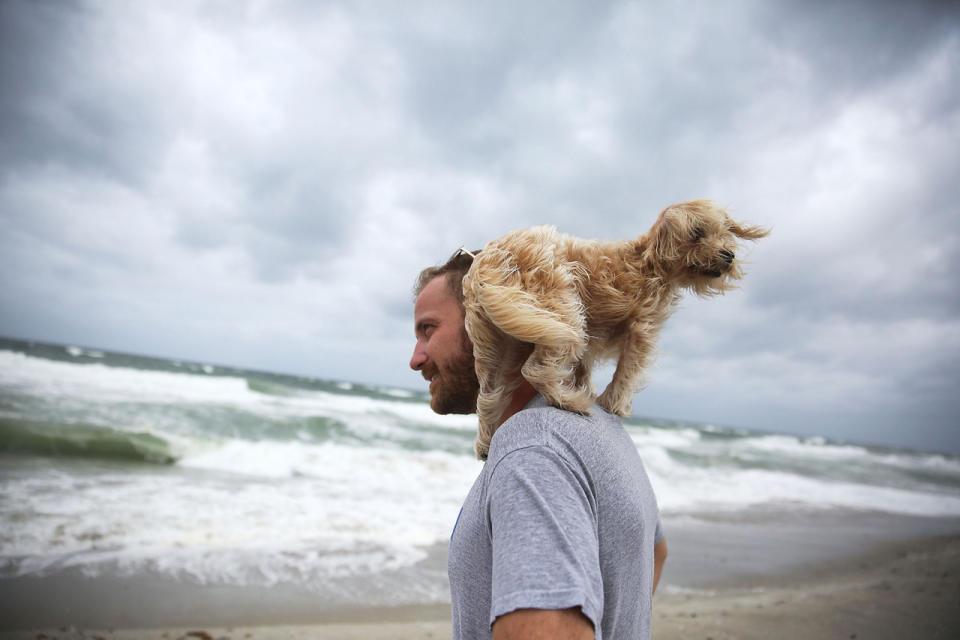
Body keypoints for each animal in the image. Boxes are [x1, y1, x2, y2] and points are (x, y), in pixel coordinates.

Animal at [462, 200, 768, 460]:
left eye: (724, 232)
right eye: (696, 233)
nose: (728, 255)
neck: (649, 263)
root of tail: (490, 259)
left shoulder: (593, 335)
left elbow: (585, 366)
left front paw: (586, 385)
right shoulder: (643, 329)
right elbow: (627, 371)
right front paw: (613, 404)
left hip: (499, 340)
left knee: (488, 396)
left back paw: (487, 443)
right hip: (562, 312)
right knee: (535, 369)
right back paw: (570, 402)